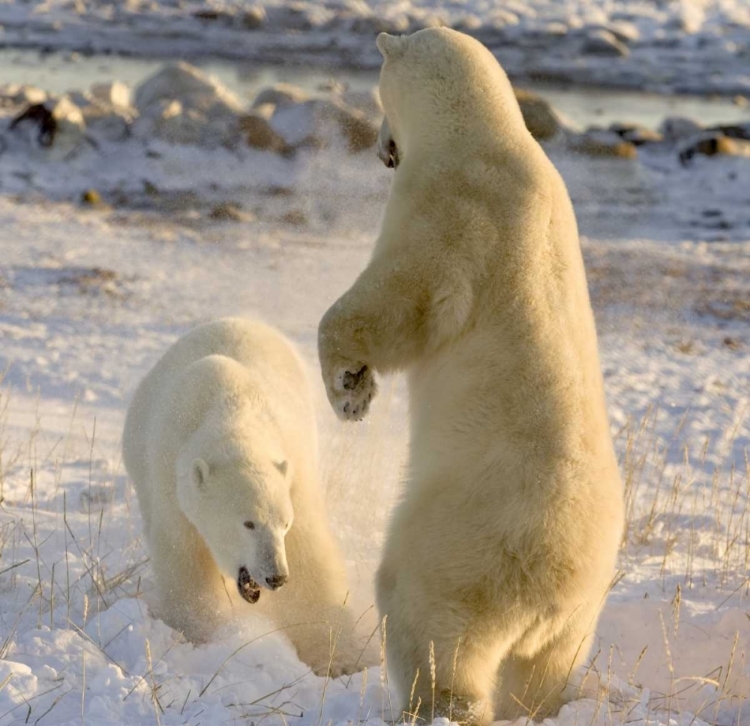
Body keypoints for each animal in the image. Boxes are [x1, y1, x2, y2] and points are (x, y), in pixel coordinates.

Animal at [123, 318, 358, 676]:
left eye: (284, 524)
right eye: (248, 523)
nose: (276, 576)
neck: (231, 410)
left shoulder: (294, 472)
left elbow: (309, 556)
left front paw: (338, 657)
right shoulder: (169, 480)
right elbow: (184, 556)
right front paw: (204, 630)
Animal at [320, 27, 624, 724]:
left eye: (378, 98)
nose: (382, 150)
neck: (484, 134)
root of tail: (552, 581)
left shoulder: (450, 212)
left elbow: (397, 301)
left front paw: (350, 388)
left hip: (461, 544)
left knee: (430, 626)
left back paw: (428, 704)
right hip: (580, 614)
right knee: (541, 673)